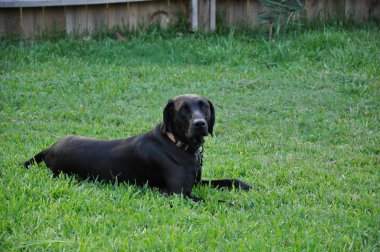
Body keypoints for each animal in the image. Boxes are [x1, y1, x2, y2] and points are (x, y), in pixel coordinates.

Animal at [26, 94, 252, 201]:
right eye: (183, 109)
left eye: (204, 106)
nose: (200, 124)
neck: (176, 144)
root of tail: (51, 147)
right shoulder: (180, 194)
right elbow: (219, 202)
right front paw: (239, 205)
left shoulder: (196, 183)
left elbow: (228, 181)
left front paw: (247, 187)